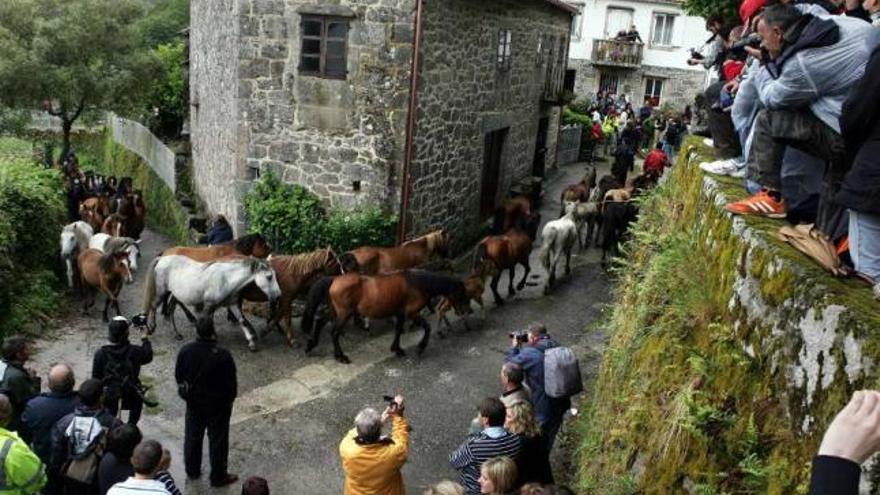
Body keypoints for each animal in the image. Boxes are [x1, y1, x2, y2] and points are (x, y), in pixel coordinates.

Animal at [143, 256, 282, 348]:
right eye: (269, 277)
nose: (278, 295)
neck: (226, 279)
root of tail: (162, 259)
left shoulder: (232, 304)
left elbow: (242, 320)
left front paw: (251, 342)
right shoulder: (209, 304)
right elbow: (206, 320)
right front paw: (207, 337)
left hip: (176, 295)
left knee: (171, 309)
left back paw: (176, 334)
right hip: (162, 292)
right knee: (154, 306)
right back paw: (150, 329)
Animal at [300, 272, 468, 364]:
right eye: (461, 293)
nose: (464, 311)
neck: (417, 283)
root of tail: (334, 280)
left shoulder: (400, 313)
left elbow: (398, 330)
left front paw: (397, 349)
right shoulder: (411, 313)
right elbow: (427, 327)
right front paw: (420, 348)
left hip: (336, 311)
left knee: (320, 321)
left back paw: (310, 345)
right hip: (344, 313)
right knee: (334, 332)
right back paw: (341, 357)